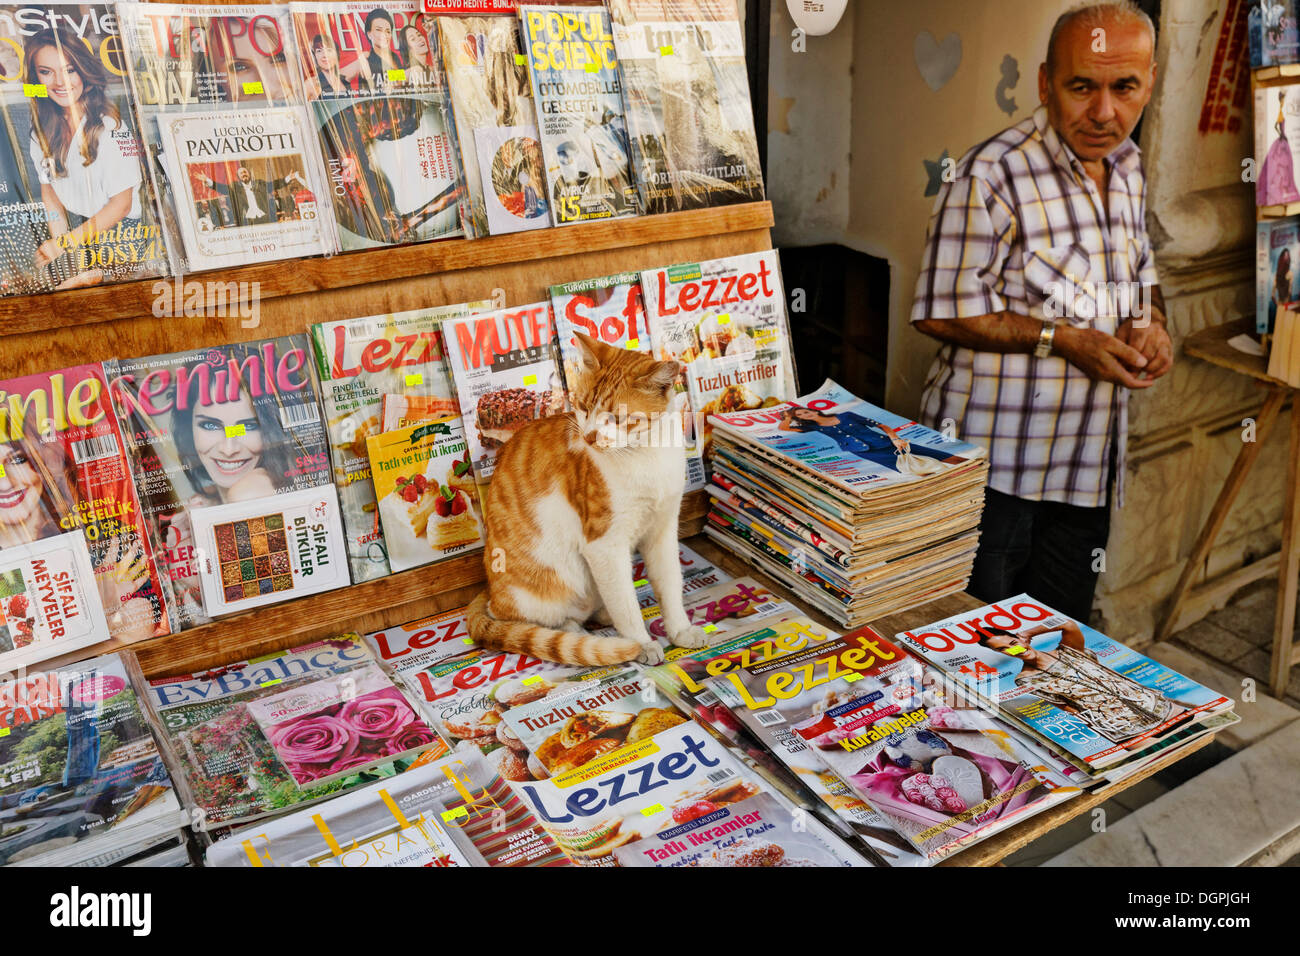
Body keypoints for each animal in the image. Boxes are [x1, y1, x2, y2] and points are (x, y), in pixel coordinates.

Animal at [465, 330, 717, 665]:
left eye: (618, 418)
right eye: (583, 406)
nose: (588, 437)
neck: (645, 454)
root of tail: (490, 592)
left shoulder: (662, 532)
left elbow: (670, 585)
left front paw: (680, 630)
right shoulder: (604, 546)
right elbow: (626, 605)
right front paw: (641, 643)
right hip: (552, 586)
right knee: (533, 621)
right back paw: (583, 632)